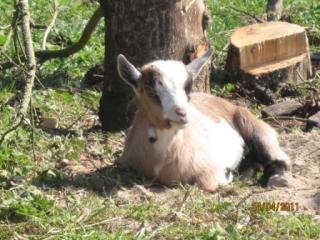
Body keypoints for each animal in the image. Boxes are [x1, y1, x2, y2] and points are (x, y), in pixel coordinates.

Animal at [117, 49, 290, 192]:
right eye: (149, 88)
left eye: (187, 88)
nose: (182, 113)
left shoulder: (211, 168)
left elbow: (208, 183)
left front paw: (229, 174)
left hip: (256, 128)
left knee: (280, 159)